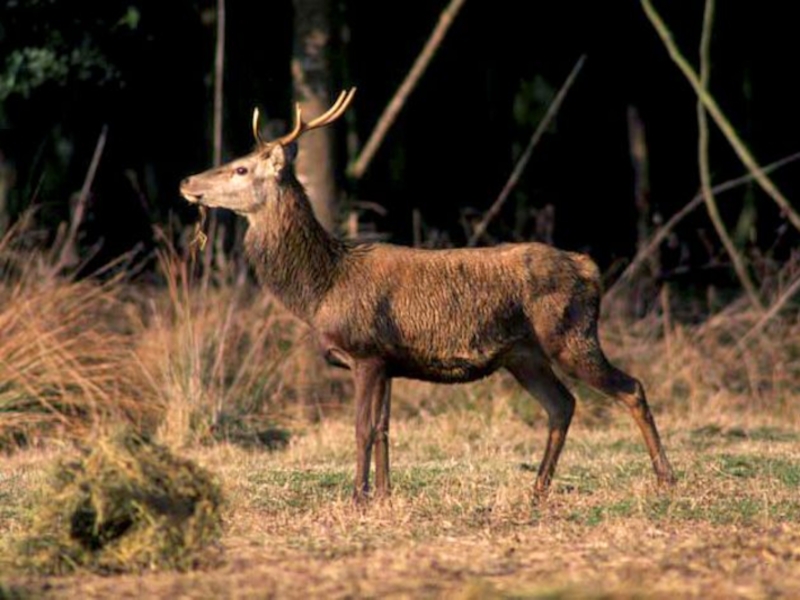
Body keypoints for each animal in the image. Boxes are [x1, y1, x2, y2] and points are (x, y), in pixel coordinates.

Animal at [180, 88, 676, 502]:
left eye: (241, 167)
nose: (187, 182)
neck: (322, 288)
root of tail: (589, 269)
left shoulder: (365, 351)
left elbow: (362, 429)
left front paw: (357, 497)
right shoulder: (388, 361)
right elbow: (383, 429)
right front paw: (384, 495)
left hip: (570, 334)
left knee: (630, 388)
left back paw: (664, 478)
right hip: (524, 354)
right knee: (562, 405)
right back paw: (537, 488)